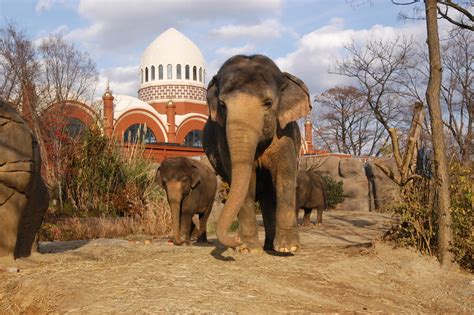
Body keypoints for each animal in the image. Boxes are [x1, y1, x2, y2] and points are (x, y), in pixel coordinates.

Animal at [203, 53, 312, 252]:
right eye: (222, 104)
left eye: (268, 103)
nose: (236, 240)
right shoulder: (223, 138)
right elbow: (246, 180)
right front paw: (248, 248)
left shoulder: (285, 132)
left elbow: (284, 174)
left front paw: (288, 248)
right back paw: (266, 245)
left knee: (270, 193)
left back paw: (271, 246)